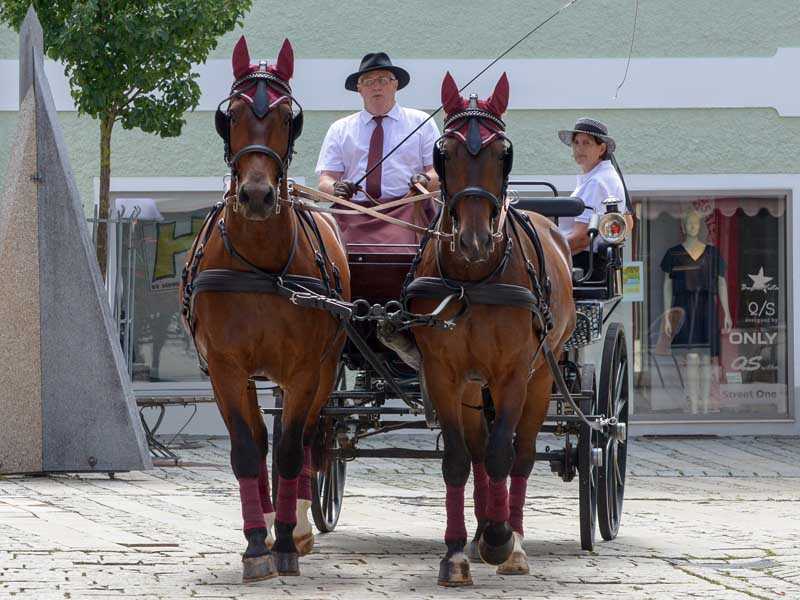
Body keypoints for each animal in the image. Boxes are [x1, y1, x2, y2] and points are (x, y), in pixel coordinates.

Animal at [181, 36, 350, 580]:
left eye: (285, 117)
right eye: (231, 114)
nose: (257, 195)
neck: (258, 262)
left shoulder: (303, 371)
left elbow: (293, 451)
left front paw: (286, 542)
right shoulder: (225, 368)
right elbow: (246, 450)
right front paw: (257, 544)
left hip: (325, 371)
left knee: (313, 438)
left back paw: (298, 526)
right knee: (259, 439)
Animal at [406, 72, 576, 584]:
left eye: (504, 153)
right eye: (444, 152)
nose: (474, 240)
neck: (475, 278)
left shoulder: (514, 373)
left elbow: (505, 452)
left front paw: (501, 539)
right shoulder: (444, 375)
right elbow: (459, 459)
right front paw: (456, 552)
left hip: (542, 376)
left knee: (521, 453)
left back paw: (511, 540)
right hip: (471, 387)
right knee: (479, 454)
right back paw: (481, 529)